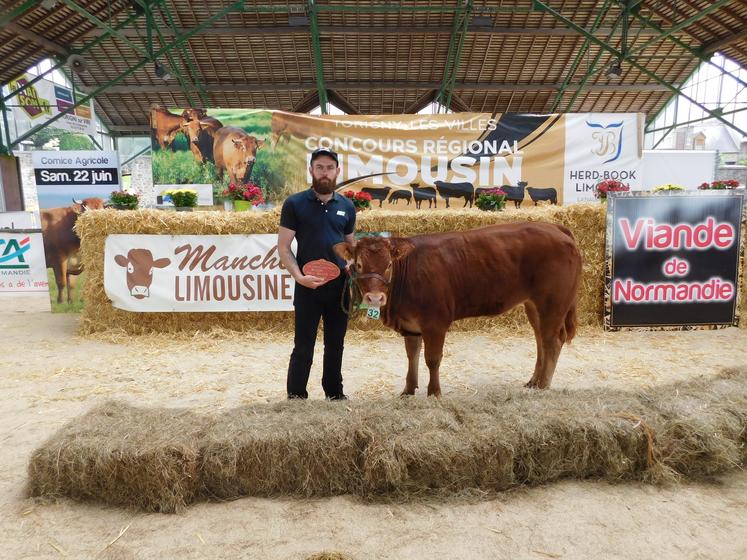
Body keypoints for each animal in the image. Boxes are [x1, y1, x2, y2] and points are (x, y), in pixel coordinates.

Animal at [334, 221, 584, 396]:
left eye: (388, 265)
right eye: (358, 265)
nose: (375, 298)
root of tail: (554, 226)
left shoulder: (435, 322)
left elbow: (432, 359)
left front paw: (434, 393)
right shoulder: (411, 324)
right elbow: (412, 355)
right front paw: (408, 390)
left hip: (553, 302)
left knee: (553, 340)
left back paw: (543, 385)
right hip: (534, 304)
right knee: (540, 339)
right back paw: (533, 381)